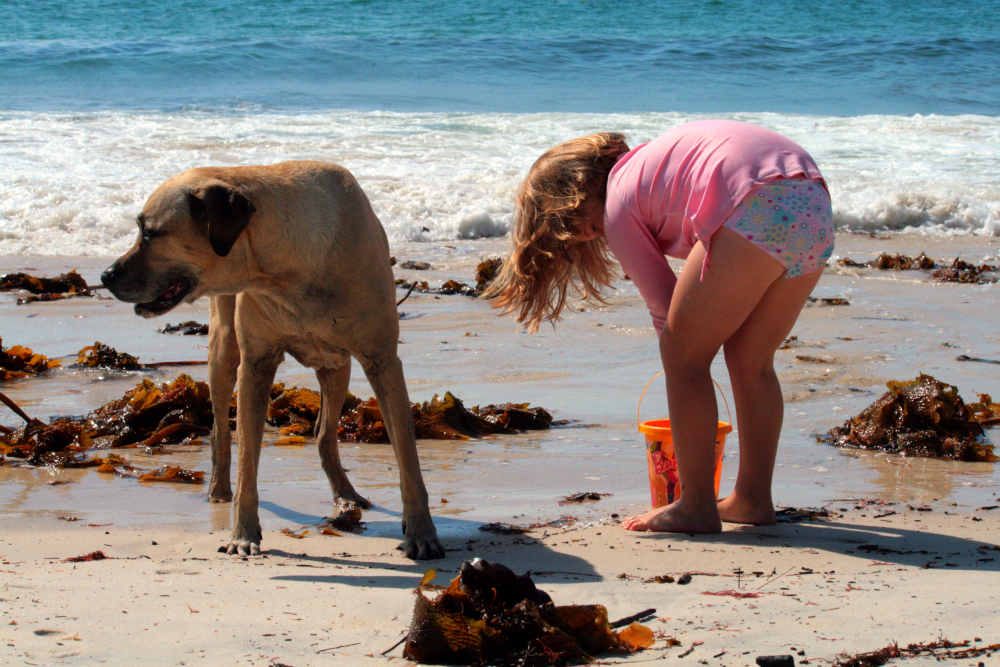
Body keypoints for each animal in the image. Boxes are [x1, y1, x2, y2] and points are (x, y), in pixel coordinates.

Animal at [103, 160, 444, 560]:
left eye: (149, 234)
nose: (105, 276)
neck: (285, 272)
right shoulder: (256, 363)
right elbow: (247, 462)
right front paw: (242, 532)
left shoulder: (382, 361)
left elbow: (408, 459)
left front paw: (421, 532)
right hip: (223, 346)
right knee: (221, 427)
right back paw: (219, 489)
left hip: (336, 365)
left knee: (323, 432)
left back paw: (345, 495)